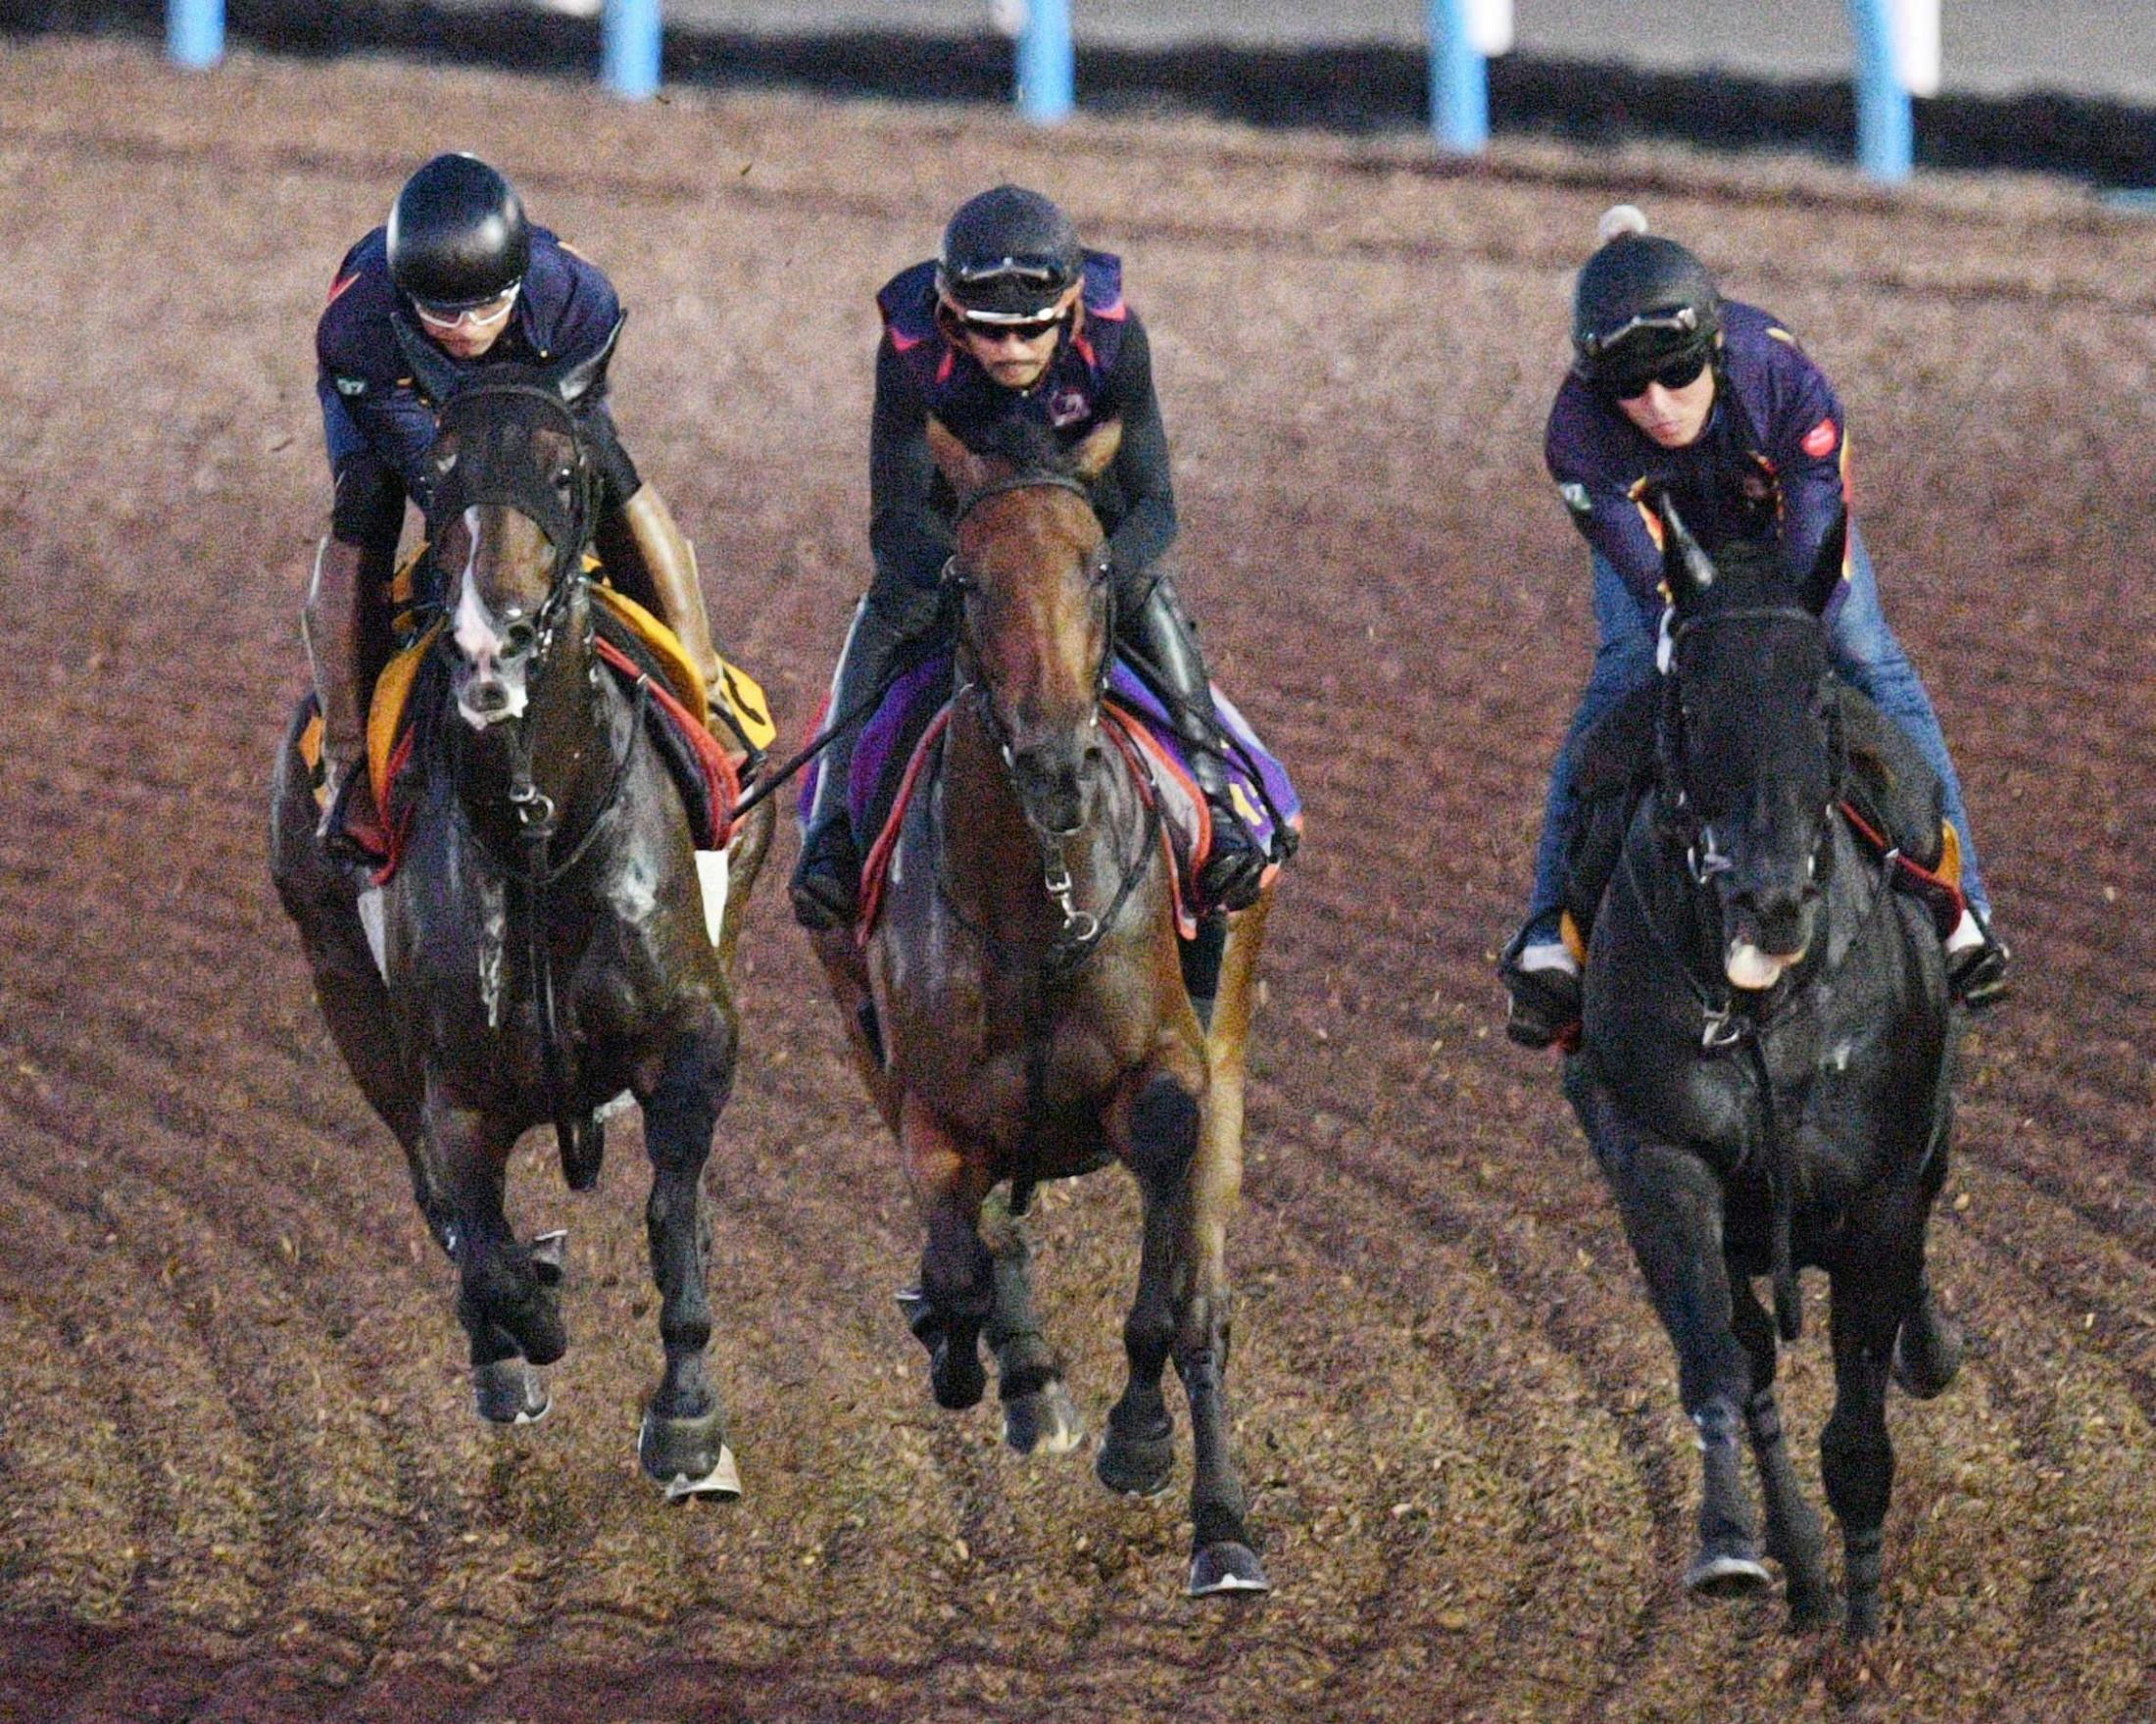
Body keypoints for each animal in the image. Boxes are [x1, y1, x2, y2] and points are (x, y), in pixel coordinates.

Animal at [268, 342, 776, 1500]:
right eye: (441, 472)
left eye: (563, 472)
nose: (486, 642)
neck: (542, 828)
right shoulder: (452, 1086)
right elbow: (477, 1235)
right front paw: (529, 1315)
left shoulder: (695, 1028)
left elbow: (672, 1209)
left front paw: (687, 1418)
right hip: (342, 985)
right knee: (434, 1198)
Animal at [810, 418, 1276, 1602]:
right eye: (963, 581)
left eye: (1097, 567)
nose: (1058, 761)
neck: (1035, 902)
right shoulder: (927, 1108)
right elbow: (959, 1262)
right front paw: (979, 1357)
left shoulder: (1169, 1083)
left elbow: (1165, 1304)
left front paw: (1144, 1439)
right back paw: (1018, 1372)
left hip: (1230, 1051)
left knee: (1206, 1306)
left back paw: (1221, 1526)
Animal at [1560, 497, 1966, 1646]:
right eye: (1692, 704)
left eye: (1819, 699)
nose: (1771, 896)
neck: (1762, 1007)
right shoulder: (1657, 1158)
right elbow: (1719, 1365)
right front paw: (1738, 1548)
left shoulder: (1881, 1192)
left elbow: (1860, 1426)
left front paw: (1864, 1631)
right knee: (1751, 1363)